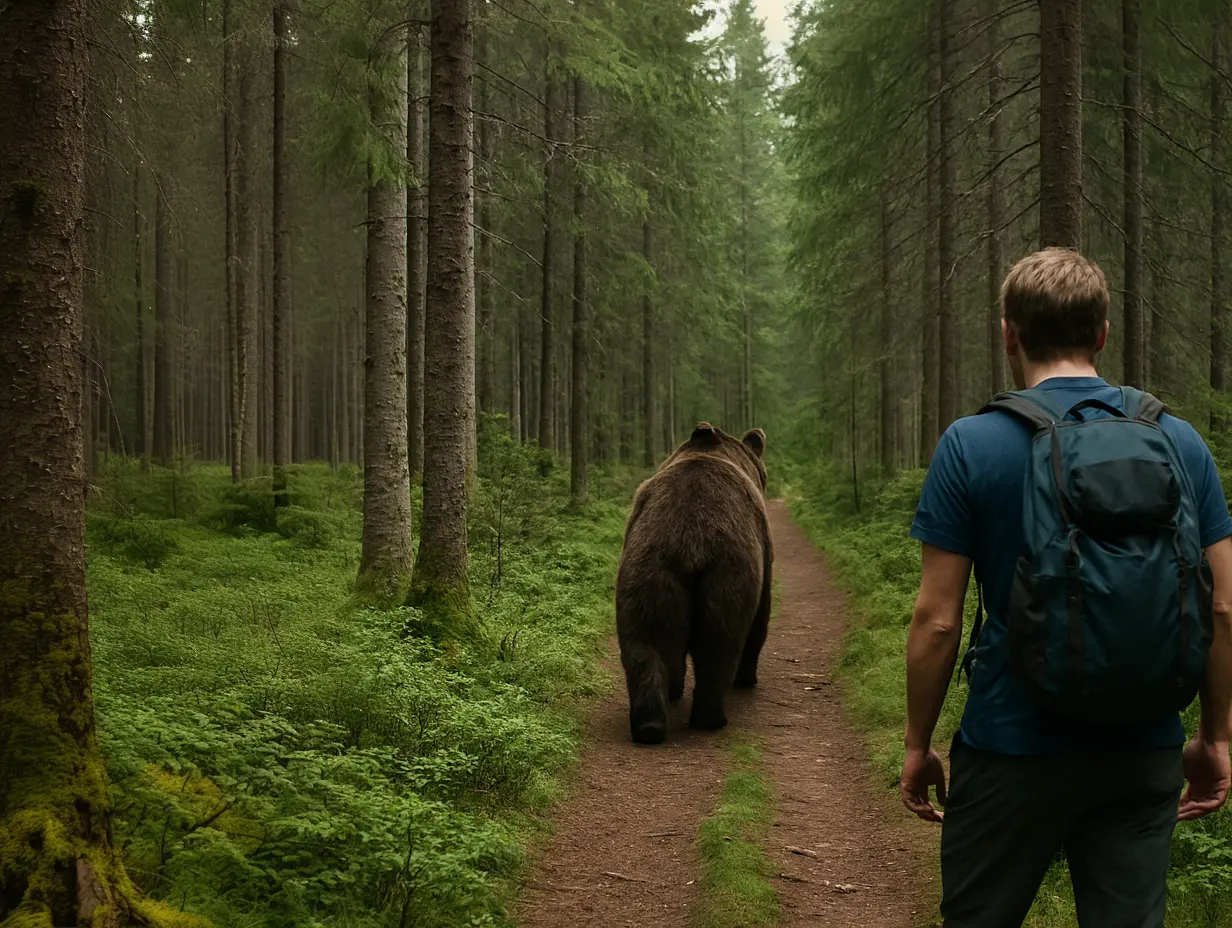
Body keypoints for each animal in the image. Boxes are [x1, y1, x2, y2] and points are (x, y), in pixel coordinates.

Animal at [614, 422, 773, 745]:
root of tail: (691, 543)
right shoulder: (763, 544)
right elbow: (760, 617)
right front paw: (747, 677)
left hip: (648, 572)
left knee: (644, 643)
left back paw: (648, 724)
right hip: (727, 573)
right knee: (719, 645)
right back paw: (711, 716)